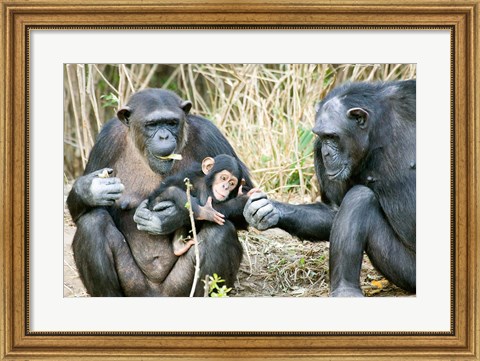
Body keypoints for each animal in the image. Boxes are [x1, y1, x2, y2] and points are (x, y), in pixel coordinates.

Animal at [68, 88, 255, 296]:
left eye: (171, 123)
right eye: (152, 125)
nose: (164, 136)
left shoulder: (211, 135)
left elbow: (244, 206)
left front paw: (170, 217)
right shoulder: (105, 141)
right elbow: (78, 214)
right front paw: (91, 189)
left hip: (177, 289)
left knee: (219, 232)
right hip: (134, 287)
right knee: (92, 223)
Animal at [244, 80, 416, 296]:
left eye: (332, 137)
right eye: (323, 137)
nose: (326, 153)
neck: (377, 130)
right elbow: (334, 209)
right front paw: (269, 209)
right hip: (406, 272)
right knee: (360, 197)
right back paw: (345, 290)